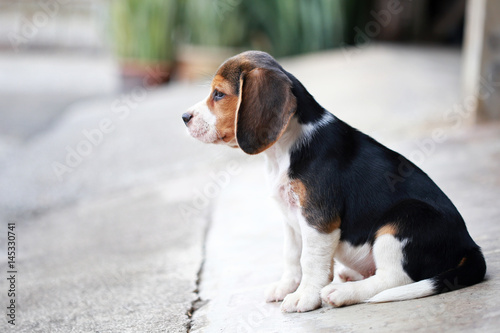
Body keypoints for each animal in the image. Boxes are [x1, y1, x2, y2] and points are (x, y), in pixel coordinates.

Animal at [182, 51, 486, 312]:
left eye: (218, 94)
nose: (184, 117)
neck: (284, 148)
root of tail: (469, 245)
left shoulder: (318, 218)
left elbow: (310, 260)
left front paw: (305, 296)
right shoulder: (290, 218)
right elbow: (291, 255)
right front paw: (286, 286)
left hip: (402, 220)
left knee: (394, 279)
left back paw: (343, 292)